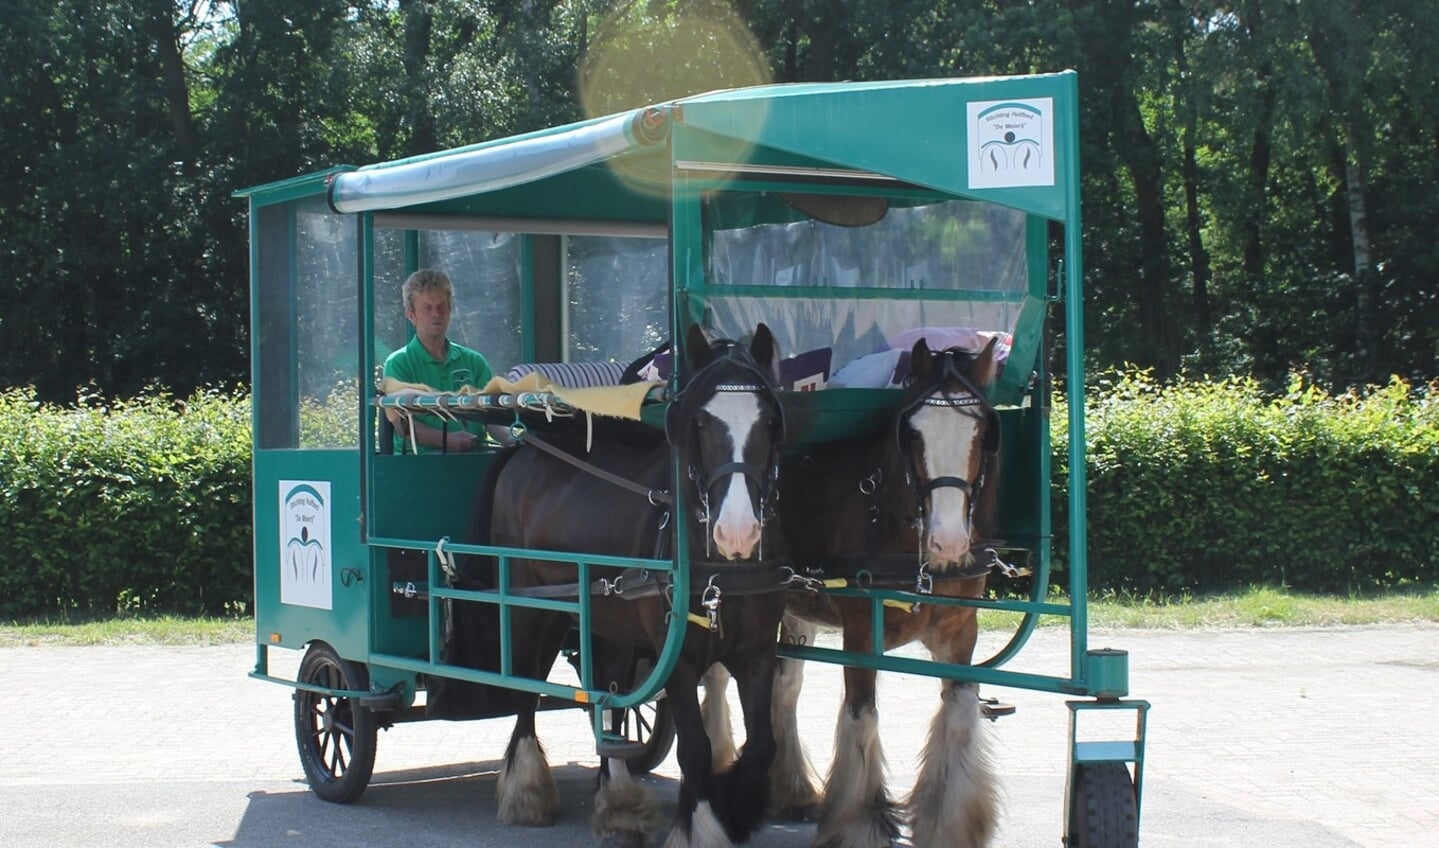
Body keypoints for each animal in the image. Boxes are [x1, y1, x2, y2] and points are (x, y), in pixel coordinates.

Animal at [489, 323, 794, 846]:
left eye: (770, 422)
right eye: (700, 423)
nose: (736, 532)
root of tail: (523, 449)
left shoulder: (756, 652)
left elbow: (761, 745)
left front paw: (735, 808)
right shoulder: (679, 662)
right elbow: (695, 747)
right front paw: (702, 824)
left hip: (605, 618)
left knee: (607, 692)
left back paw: (617, 797)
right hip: (534, 607)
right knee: (526, 687)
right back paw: (527, 791)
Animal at [705, 335, 1001, 846]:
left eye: (981, 434)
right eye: (913, 434)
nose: (947, 542)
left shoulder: (961, 629)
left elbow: (961, 710)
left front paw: (948, 821)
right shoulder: (861, 631)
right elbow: (862, 713)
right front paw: (861, 820)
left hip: (794, 611)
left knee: (784, 687)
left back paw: (793, 788)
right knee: (718, 678)